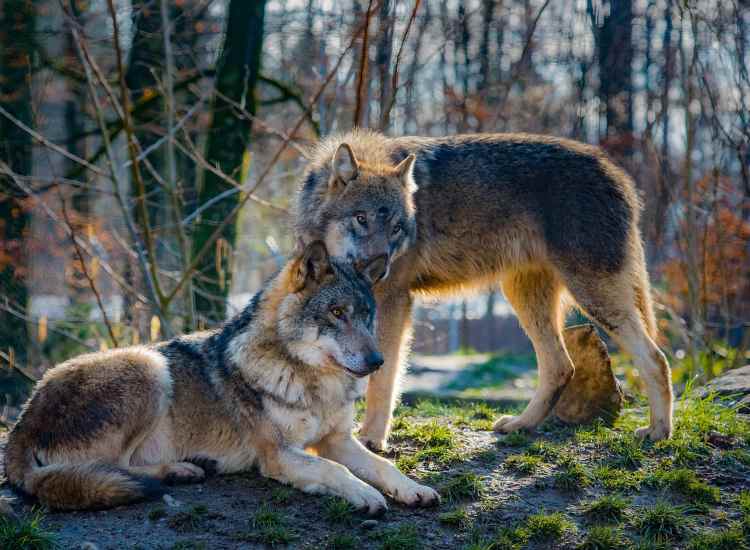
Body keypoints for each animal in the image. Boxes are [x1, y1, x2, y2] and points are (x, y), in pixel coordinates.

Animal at [4, 244, 440, 516]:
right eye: (336, 312)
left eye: (367, 315)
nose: (378, 361)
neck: (312, 382)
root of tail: (23, 421)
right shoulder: (279, 455)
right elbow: (337, 471)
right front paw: (365, 494)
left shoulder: (337, 439)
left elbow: (382, 465)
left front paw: (412, 488)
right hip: (148, 365)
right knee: (114, 468)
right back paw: (180, 470)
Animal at [296, 130, 680, 452]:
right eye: (361, 219)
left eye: (396, 229)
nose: (379, 267)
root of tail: (619, 174)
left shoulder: (393, 301)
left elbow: (382, 379)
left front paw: (372, 439)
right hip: (526, 297)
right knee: (561, 366)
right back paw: (521, 425)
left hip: (593, 297)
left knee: (656, 358)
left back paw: (659, 431)